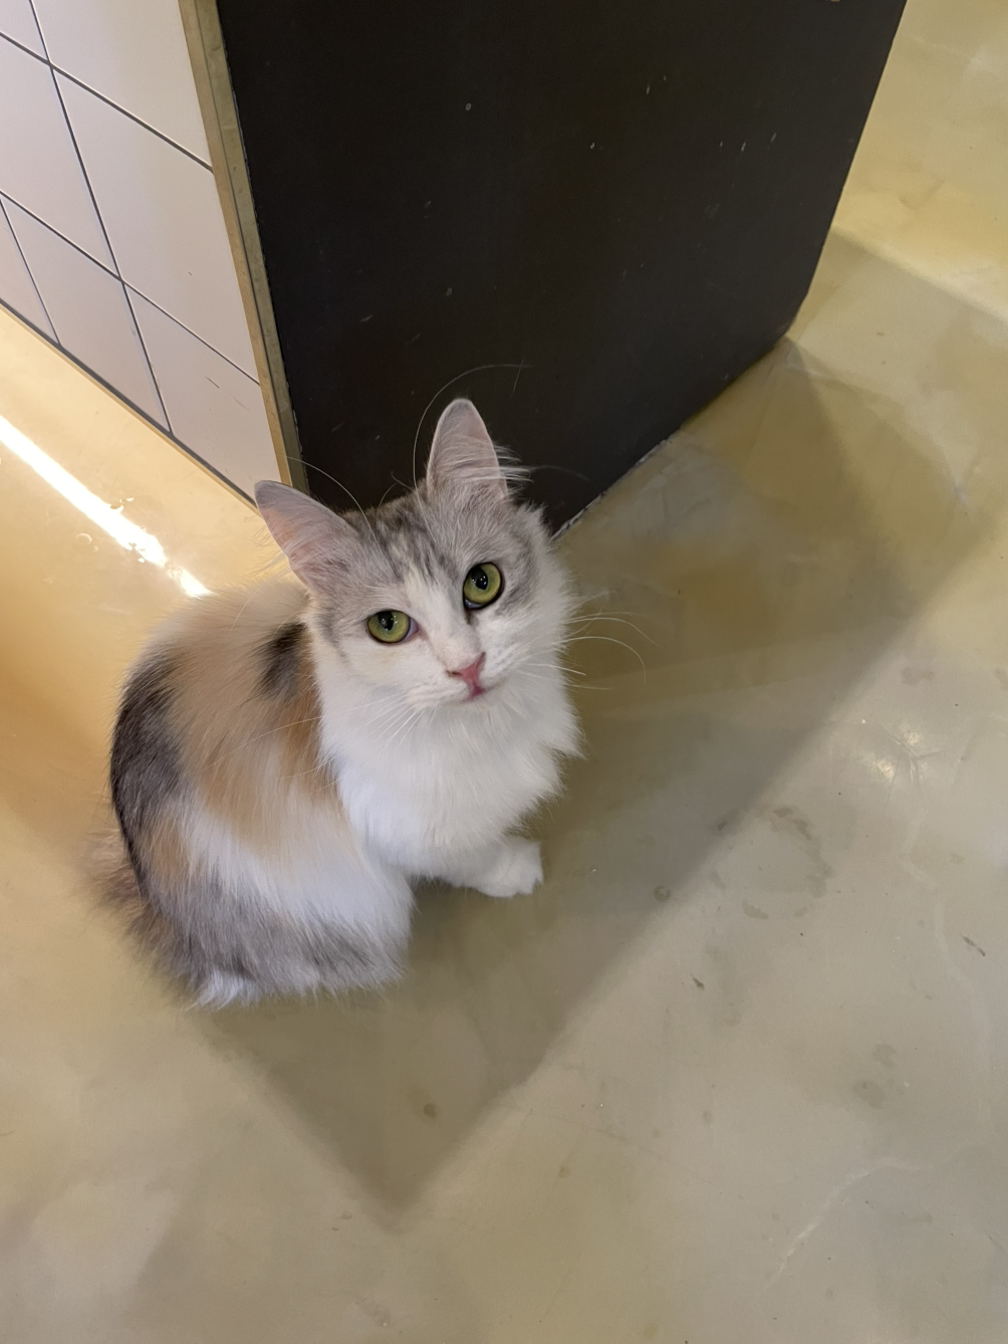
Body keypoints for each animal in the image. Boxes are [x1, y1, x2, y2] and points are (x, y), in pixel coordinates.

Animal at [108, 398, 579, 1006]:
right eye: (389, 626)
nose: (467, 666)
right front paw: (516, 870)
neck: (482, 727)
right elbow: (474, 857)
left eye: (482, 583)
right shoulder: (411, 829)